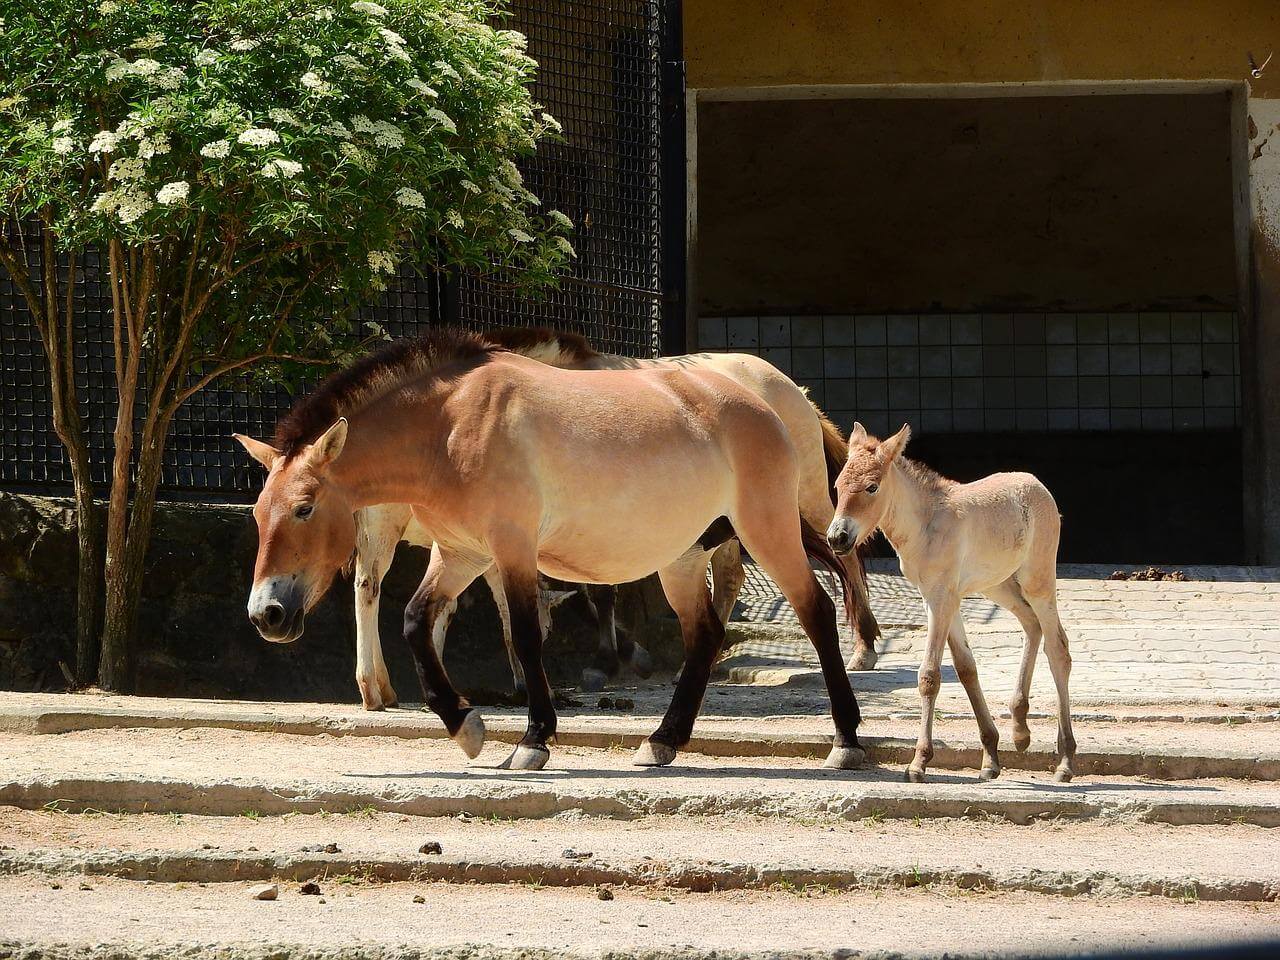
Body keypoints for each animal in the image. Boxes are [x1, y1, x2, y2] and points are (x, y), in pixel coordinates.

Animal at [235, 330, 865, 773]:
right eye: (258, 514)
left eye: (304, 508)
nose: (267, 615)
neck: (450, 425)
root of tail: (769, 405)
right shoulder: (461, 554)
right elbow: (416, 621)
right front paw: (465, 726)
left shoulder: (512, 550)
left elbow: (524, 634)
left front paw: (532, 740)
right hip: (683, 557)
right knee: (705, 634)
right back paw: (662, 741)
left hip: (768, 531)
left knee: (816, 612)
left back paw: (846, 741)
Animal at [824, 424, 1075, 783]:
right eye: (838, 486)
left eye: (872, 487)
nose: (837, 538)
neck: (925, 526)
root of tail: (1037, 485)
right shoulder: (943, 598)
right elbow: (966, 668)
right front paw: (990, 758)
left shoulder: (941, 598)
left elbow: (930, 675)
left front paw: (919, 763)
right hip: (997, 585)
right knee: (1031, 625)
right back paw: (1020, 731)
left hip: (1037, 581)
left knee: (1058, 650)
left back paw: (1065, 761)